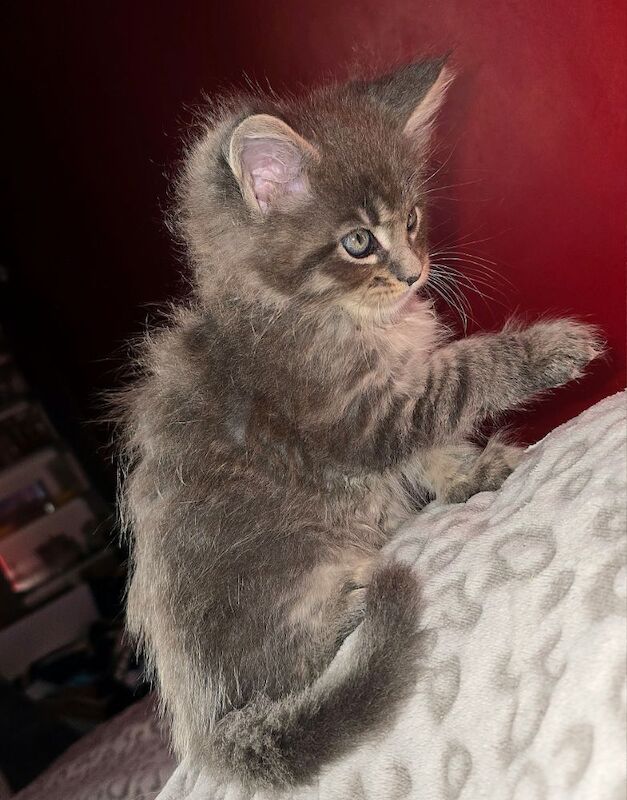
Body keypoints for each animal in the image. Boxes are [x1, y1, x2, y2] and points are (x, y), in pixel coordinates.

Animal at [118, 57, 604, 788]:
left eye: (413, 219)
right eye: (357, 242)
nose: (414, 273)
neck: (301, 311)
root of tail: (211, 729)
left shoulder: (395, 406)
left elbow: (435, 449)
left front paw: (473, 473)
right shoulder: (360, 415)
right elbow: (464, 376)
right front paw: (550, 349)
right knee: (304, 661)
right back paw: (360, 596)